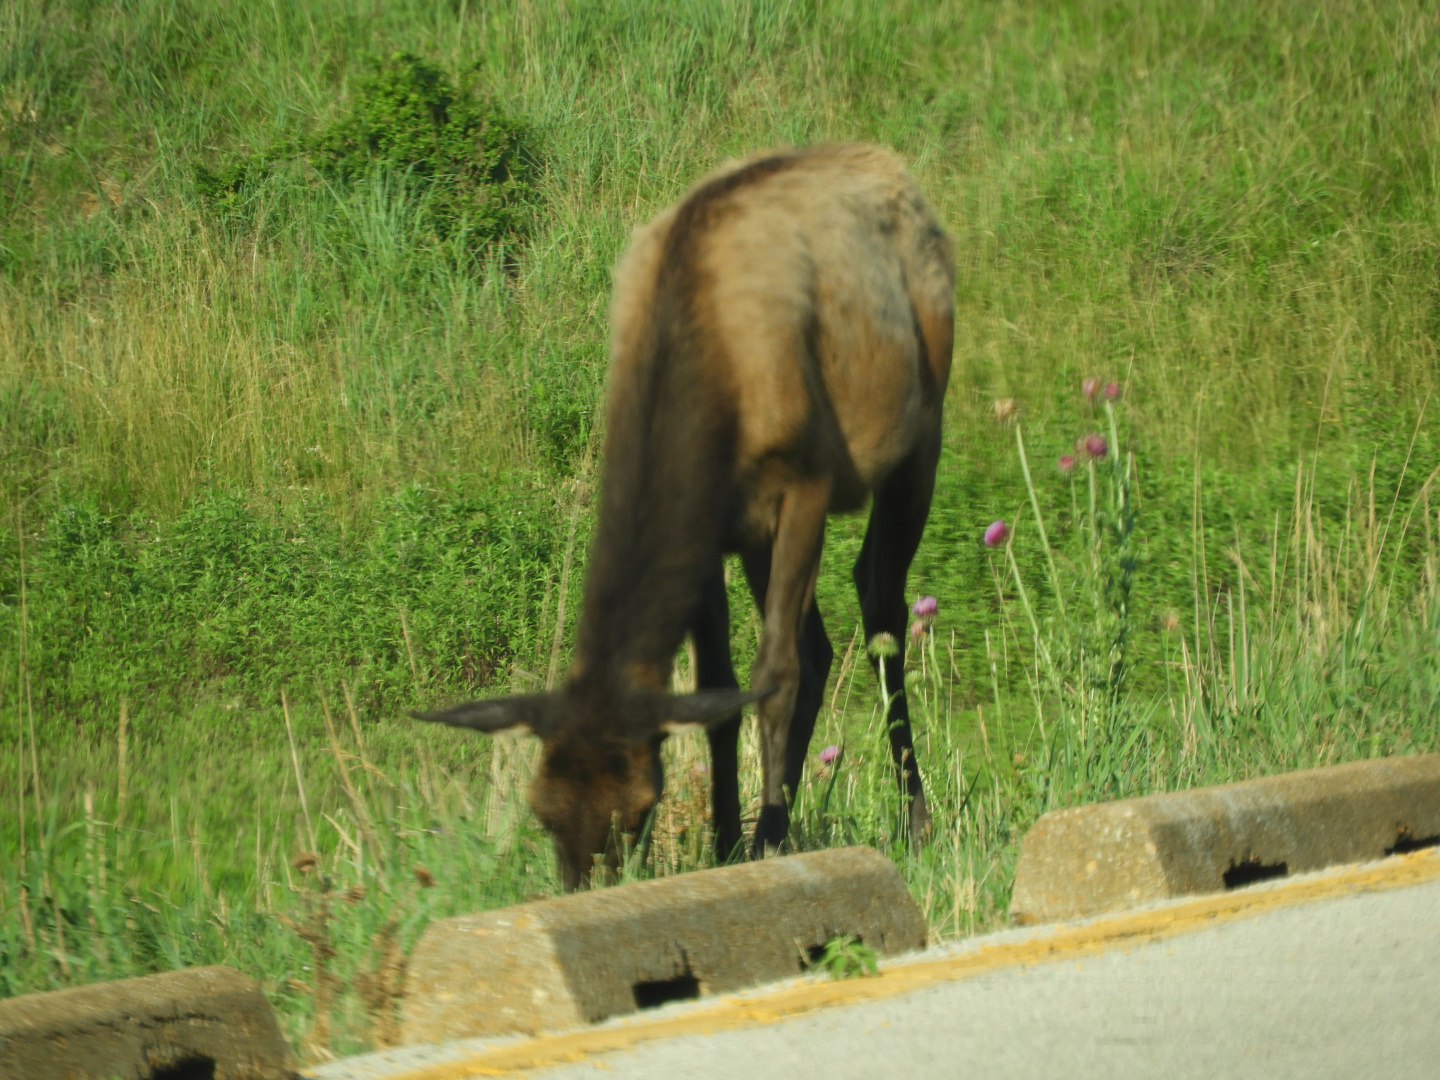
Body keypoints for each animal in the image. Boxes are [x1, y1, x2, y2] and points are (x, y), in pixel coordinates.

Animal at [414, 143, 955, 891]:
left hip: (922, 428)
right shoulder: (713, 526)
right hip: (761, 535)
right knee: (820, 644)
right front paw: (727, 842)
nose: (584, 888)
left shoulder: (806, 479)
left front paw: (765, 839)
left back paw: (915, 819)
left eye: (638, 806)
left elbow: (774, 675)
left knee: (879, 606)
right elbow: (719, 692)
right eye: (541, 812)